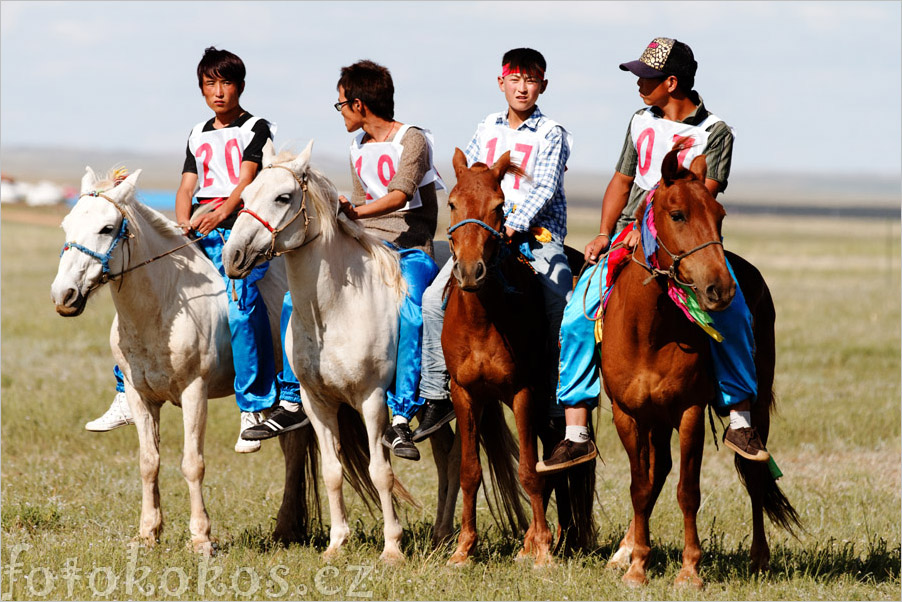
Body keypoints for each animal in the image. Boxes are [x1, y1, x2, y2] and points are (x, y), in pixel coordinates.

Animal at [49, 166, 320, 552]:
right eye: (67, 224)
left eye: (106, 228)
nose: (64, 295)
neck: (163, 306)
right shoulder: (141, 396)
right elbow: (149, 461)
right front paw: (148, 532)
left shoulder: (195, 392)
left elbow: (193, 463)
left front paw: (201, 538)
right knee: (292, 444)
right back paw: (288, 528)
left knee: (294, 451)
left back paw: (285, 526)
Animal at [222, 139, 462, 556]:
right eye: (246, 196)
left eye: (283, 197)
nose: (233, 257)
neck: (336, 309)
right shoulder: (317, 402)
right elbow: (332, 472)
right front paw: (336, 544)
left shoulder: (372, 400)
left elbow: (380, 472)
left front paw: (392, 548)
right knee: (446, 457)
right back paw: (442, 534)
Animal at [444, 148, 592, 564]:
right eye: (452, 203)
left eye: (499, 207)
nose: (470, 271)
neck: (483, 320)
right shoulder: (465, 393)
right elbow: (469, 471)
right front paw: (463, 548)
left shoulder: (523, 393)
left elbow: (530, 470)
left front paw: (541, 549)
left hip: (548, 400)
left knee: (559, 463)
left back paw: (557, 539)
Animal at [604, 143, 800, 584]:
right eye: (677, 214)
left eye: (720, 215)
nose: (720, 289)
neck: (650, 331)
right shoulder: (629, 414)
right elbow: (640, 486)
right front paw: (637, 565)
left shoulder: (689, 410)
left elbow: (687, 491)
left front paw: (690, 569)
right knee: (657, 471)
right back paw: (626, 549)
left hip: (756, 406)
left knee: (755, 475)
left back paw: (759, 558)